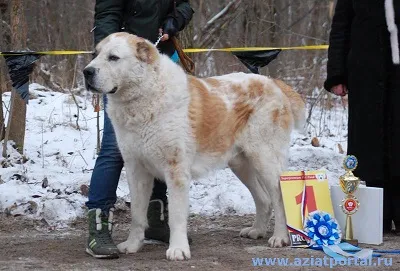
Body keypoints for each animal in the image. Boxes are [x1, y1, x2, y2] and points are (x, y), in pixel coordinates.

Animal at [83, 31, 304, 262]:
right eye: (95, 55)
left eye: (113, 58)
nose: (86, 72)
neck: (144, 95)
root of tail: (273, 83)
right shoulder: (136, 169)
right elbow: (137, 213)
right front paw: (133, 244)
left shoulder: (176, 169)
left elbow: (176, 215)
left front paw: (178, 249)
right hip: (242, 164)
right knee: (264, 199)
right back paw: (257, 230)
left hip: (265, 159)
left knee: (278, 197)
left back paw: (280, 237)